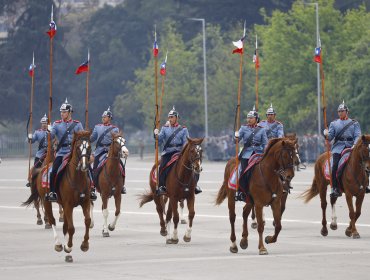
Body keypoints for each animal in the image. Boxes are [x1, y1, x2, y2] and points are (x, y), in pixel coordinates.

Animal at [23, 131, 92, 262]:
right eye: (78, 147)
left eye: (89, 146)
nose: (85, 165)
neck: (78, 178)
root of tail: (42, 169)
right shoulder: (68, 205)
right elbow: (71, 228)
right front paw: (68, 247)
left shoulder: (85, 202)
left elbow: (86, 221)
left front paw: (84, 245)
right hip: (46, 200)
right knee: (52, 220)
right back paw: (59, 244)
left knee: (64, 225)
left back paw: (67, 252)